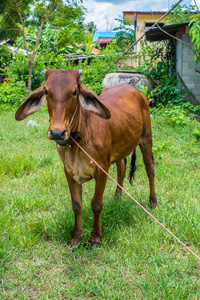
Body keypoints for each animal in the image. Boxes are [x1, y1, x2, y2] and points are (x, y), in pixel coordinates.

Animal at [14, 68, 157, 248]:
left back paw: (152, 202)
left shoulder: (102, 169)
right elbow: (77, 205)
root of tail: (137, 92)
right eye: (46, 91)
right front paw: (76, 238)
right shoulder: (69, 172)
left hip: (146, 139)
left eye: (75, 92)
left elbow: (96, 204)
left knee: (149, 167)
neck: (78, 141)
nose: (57, 133)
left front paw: (95, 238)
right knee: (122, 169)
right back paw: (117, 198)